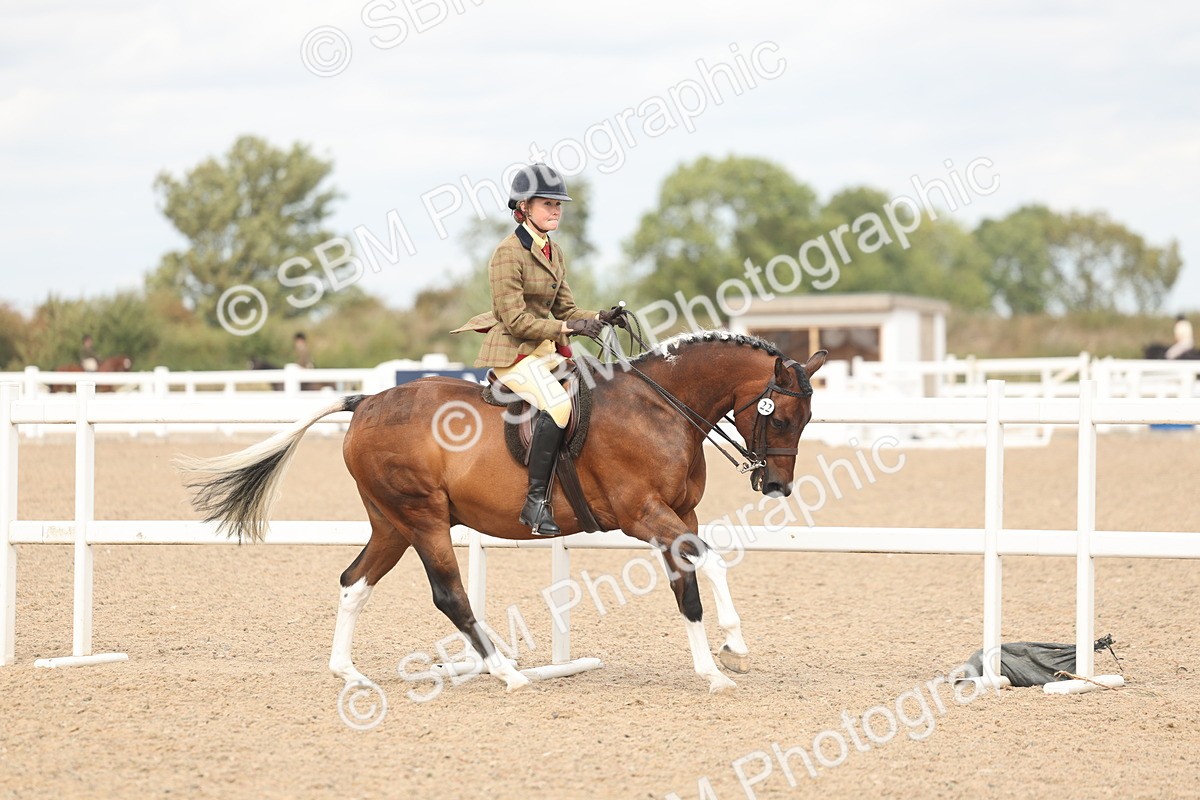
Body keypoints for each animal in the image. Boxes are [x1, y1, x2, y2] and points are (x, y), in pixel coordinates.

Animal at [178, 331, 827, 693]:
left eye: (806, 419)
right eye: (778, 415)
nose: (776, 486)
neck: (658, 406)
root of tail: (367, 401)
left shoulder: (679, 517)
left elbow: (687, 588)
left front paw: (712, 670)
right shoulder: (643, 514)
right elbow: (711, 563)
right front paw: (734, 644)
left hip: (392, 522)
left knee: (353, 581)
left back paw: (350, 673)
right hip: (423, 519)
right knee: (449, 595)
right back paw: (507, 672)